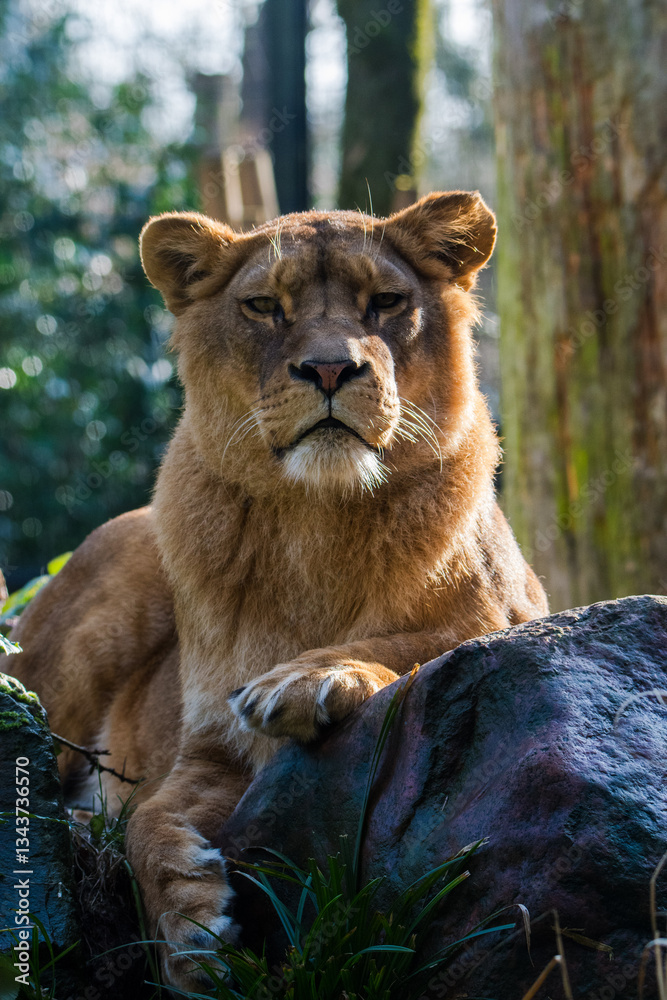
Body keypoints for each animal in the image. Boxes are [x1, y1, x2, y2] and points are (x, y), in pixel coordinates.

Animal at [6, 191, 548, 990]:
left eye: (385, 302)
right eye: (264, 306)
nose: (328, 369)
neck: (314, 520)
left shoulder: (520, 619)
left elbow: (421, 641)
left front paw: (308, 679)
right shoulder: (207, 743)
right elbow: (146, 823)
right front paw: (191, 934)